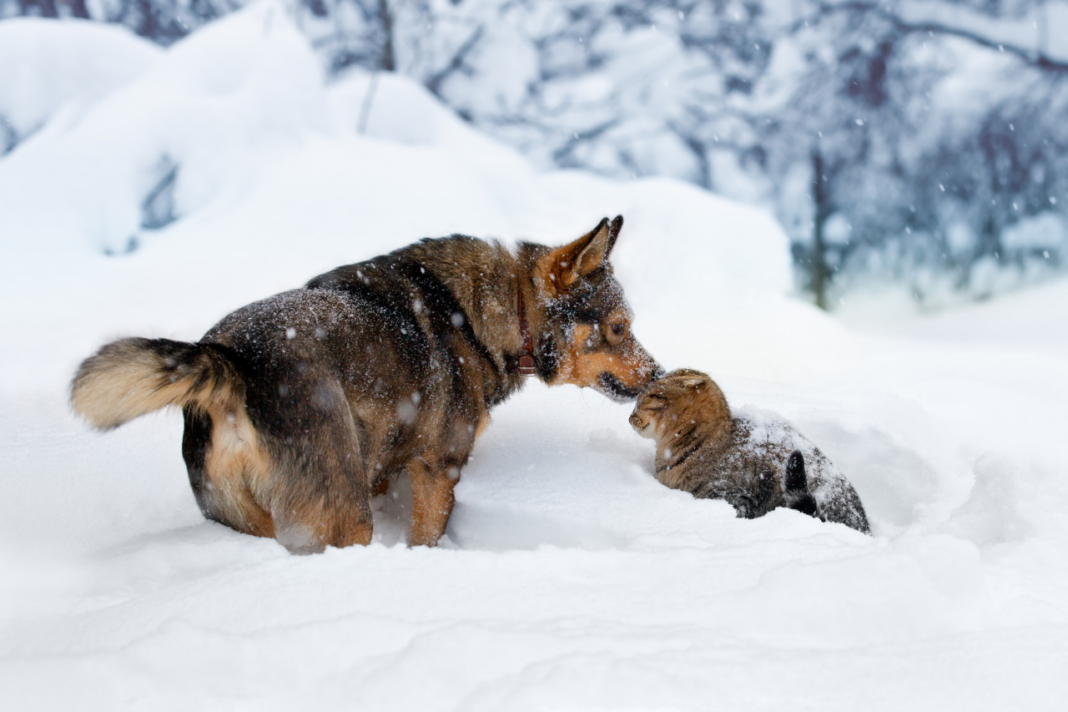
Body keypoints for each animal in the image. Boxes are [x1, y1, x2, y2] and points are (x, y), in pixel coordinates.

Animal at [71, 218, 657, 555]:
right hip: (343, 519)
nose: (657, 374)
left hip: (245, 516)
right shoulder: (439, 469)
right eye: (619, 328)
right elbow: (427, 538)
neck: (490, 312)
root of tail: (232, 360)